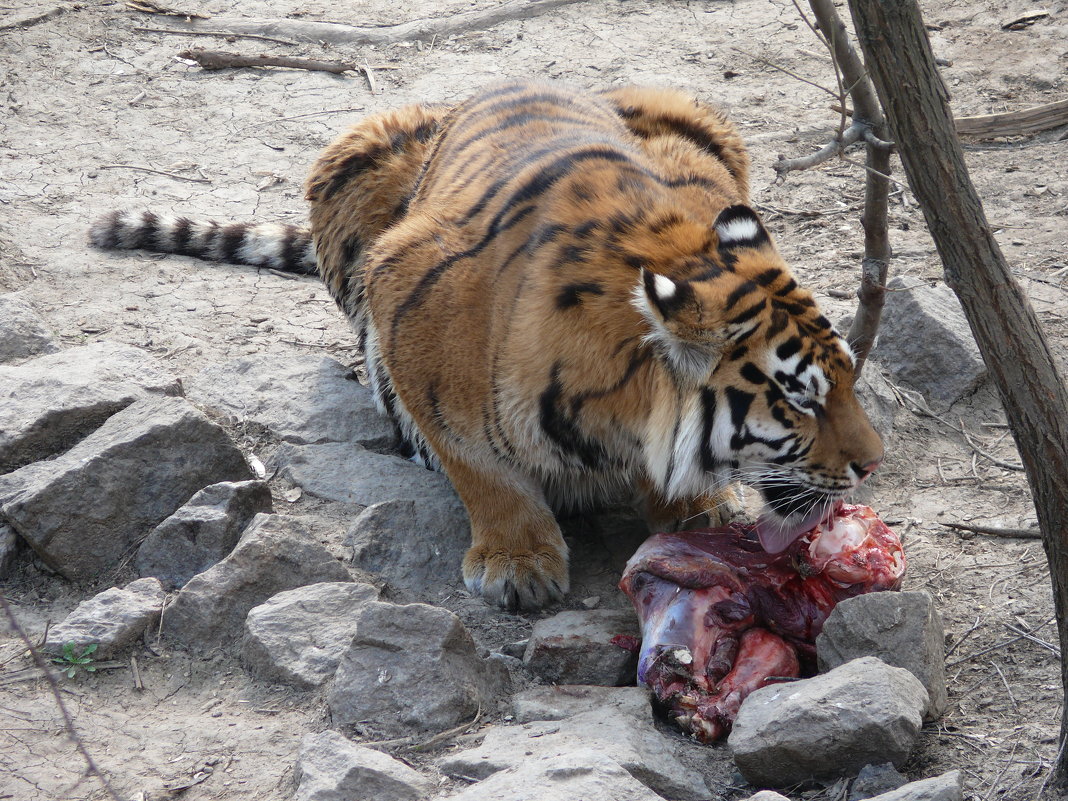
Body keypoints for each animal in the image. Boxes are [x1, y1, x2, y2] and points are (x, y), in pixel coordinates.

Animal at [91, 81, 880, 610]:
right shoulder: (403, 294)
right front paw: (516, 560)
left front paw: (691, 511)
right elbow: (477, 463)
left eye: (847, 379)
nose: (874, 465)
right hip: (356, 155)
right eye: (800, 399)